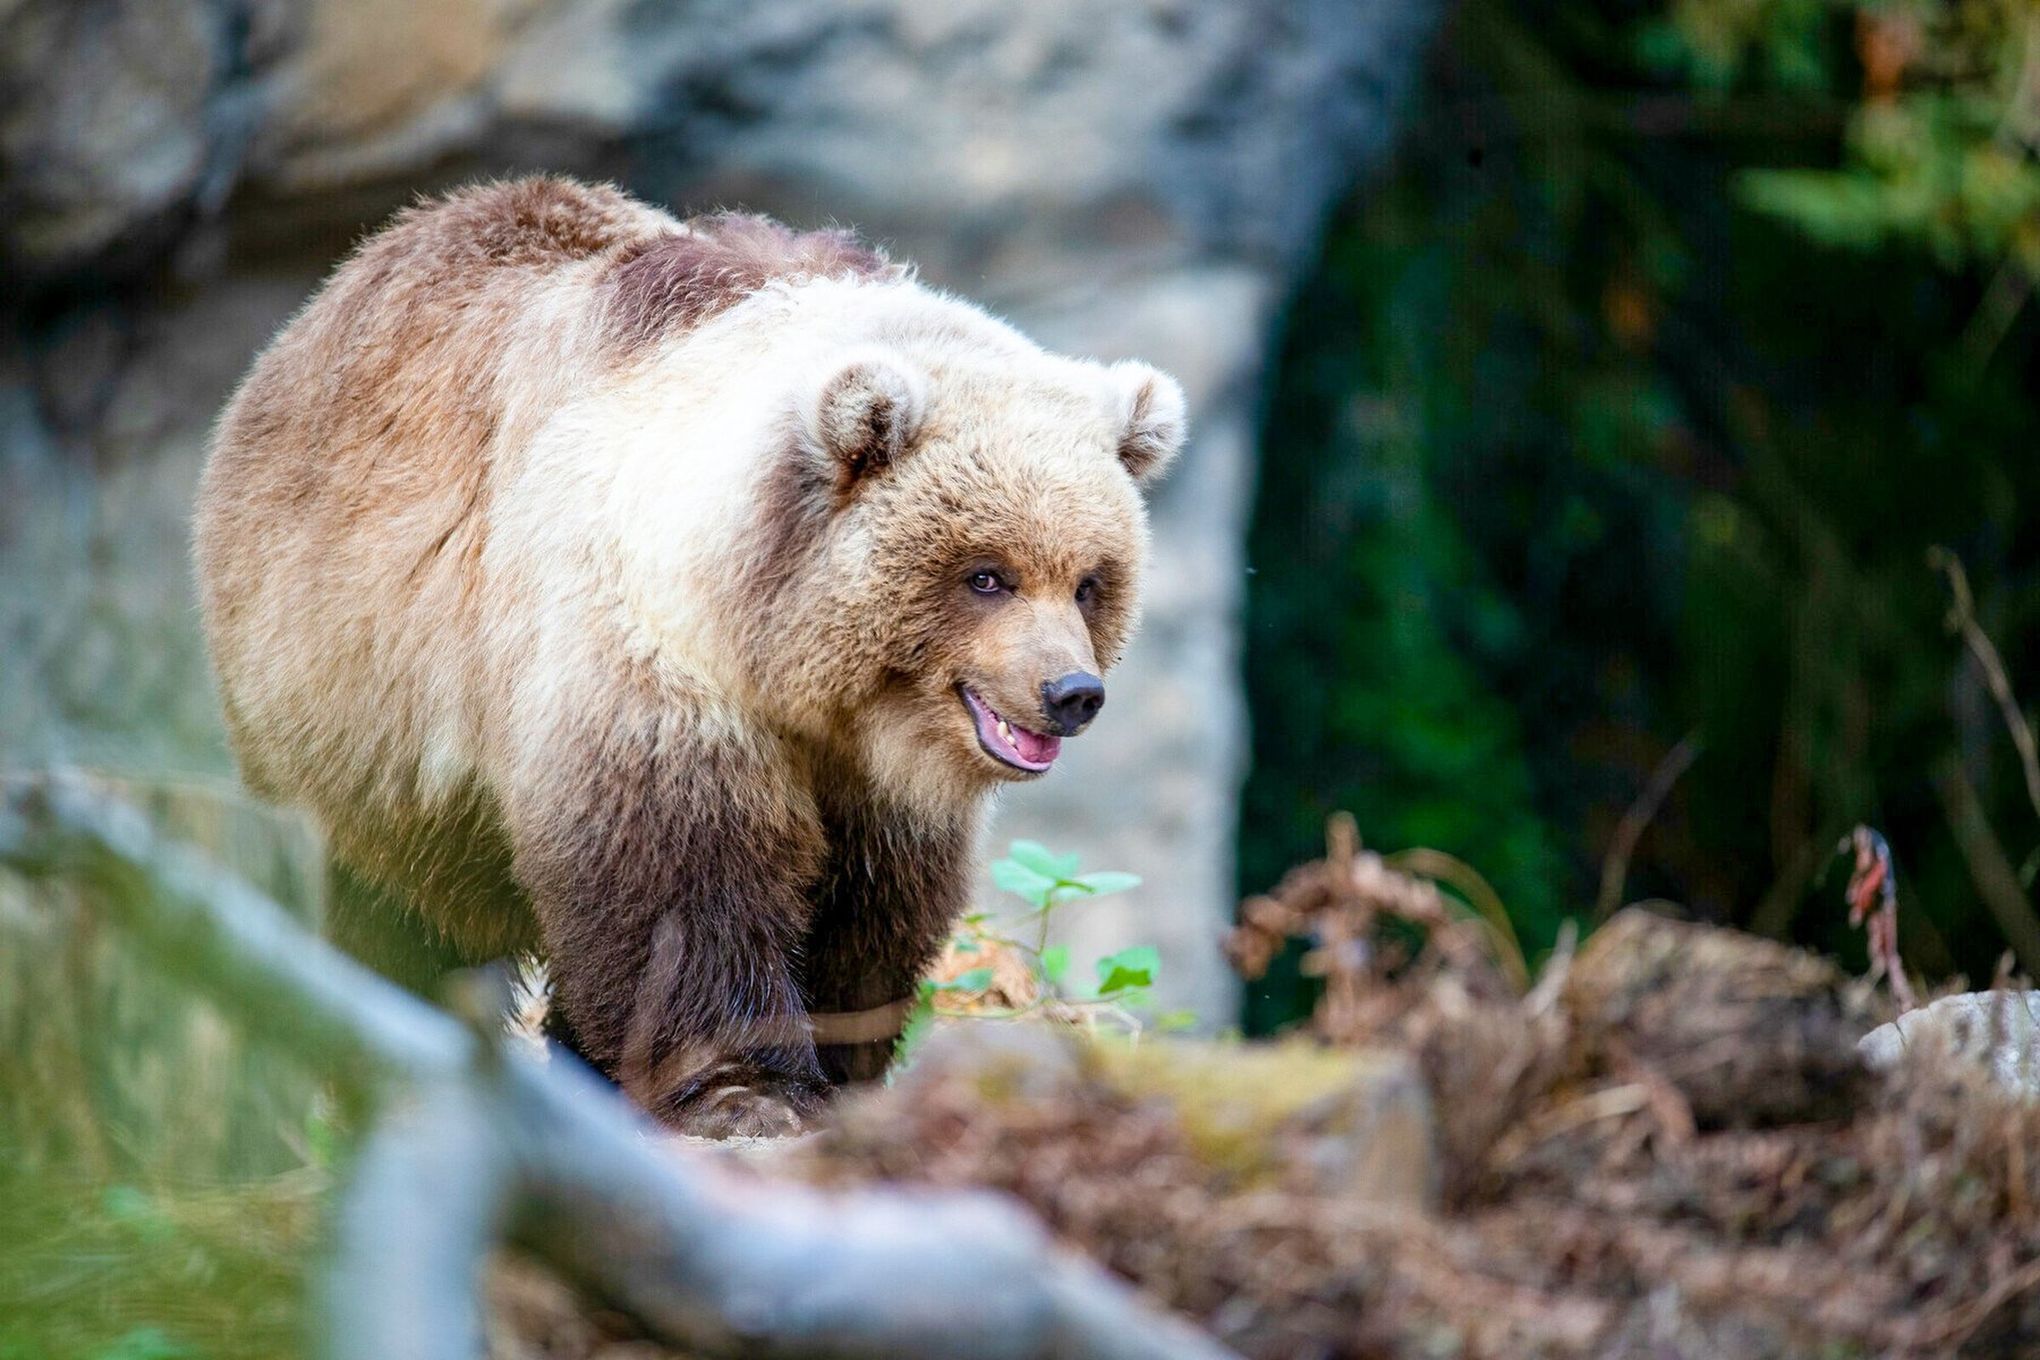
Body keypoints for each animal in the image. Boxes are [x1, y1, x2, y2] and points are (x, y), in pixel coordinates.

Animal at [198, 178, 1191, 1141]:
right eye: (987, 573)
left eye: (1090, 581)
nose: (1071, 691)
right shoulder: (646, 673)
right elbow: (680, 891)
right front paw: (743, 1093)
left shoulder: (880, 789)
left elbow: (871, 916)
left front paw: (843, 1070)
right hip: (353, 693)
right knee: (389, 903)